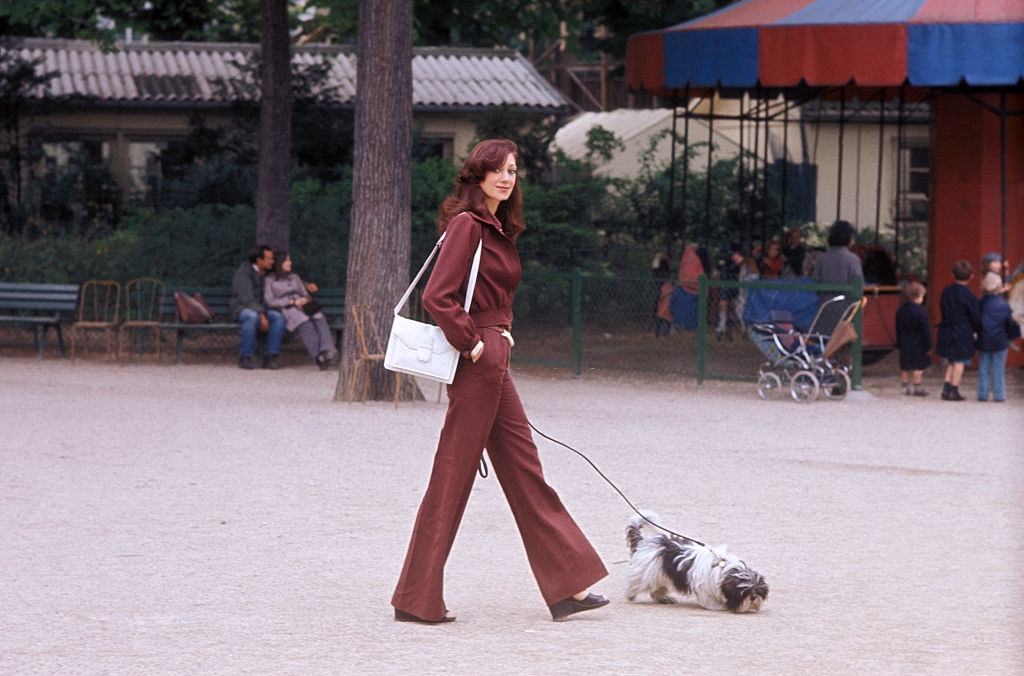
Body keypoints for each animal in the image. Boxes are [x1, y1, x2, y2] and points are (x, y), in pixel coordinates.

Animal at [622, 512, 770, 614]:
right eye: (744, 591)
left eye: (757, 589)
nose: (753, 597)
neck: (724, 569)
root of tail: (644, 543)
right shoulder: (705, 588)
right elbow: (709, 600)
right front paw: (719, 606)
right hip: (645, 574)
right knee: (636, 584)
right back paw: (631, 595)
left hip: (660, 574)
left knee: (656, 589)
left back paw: (664, 598)